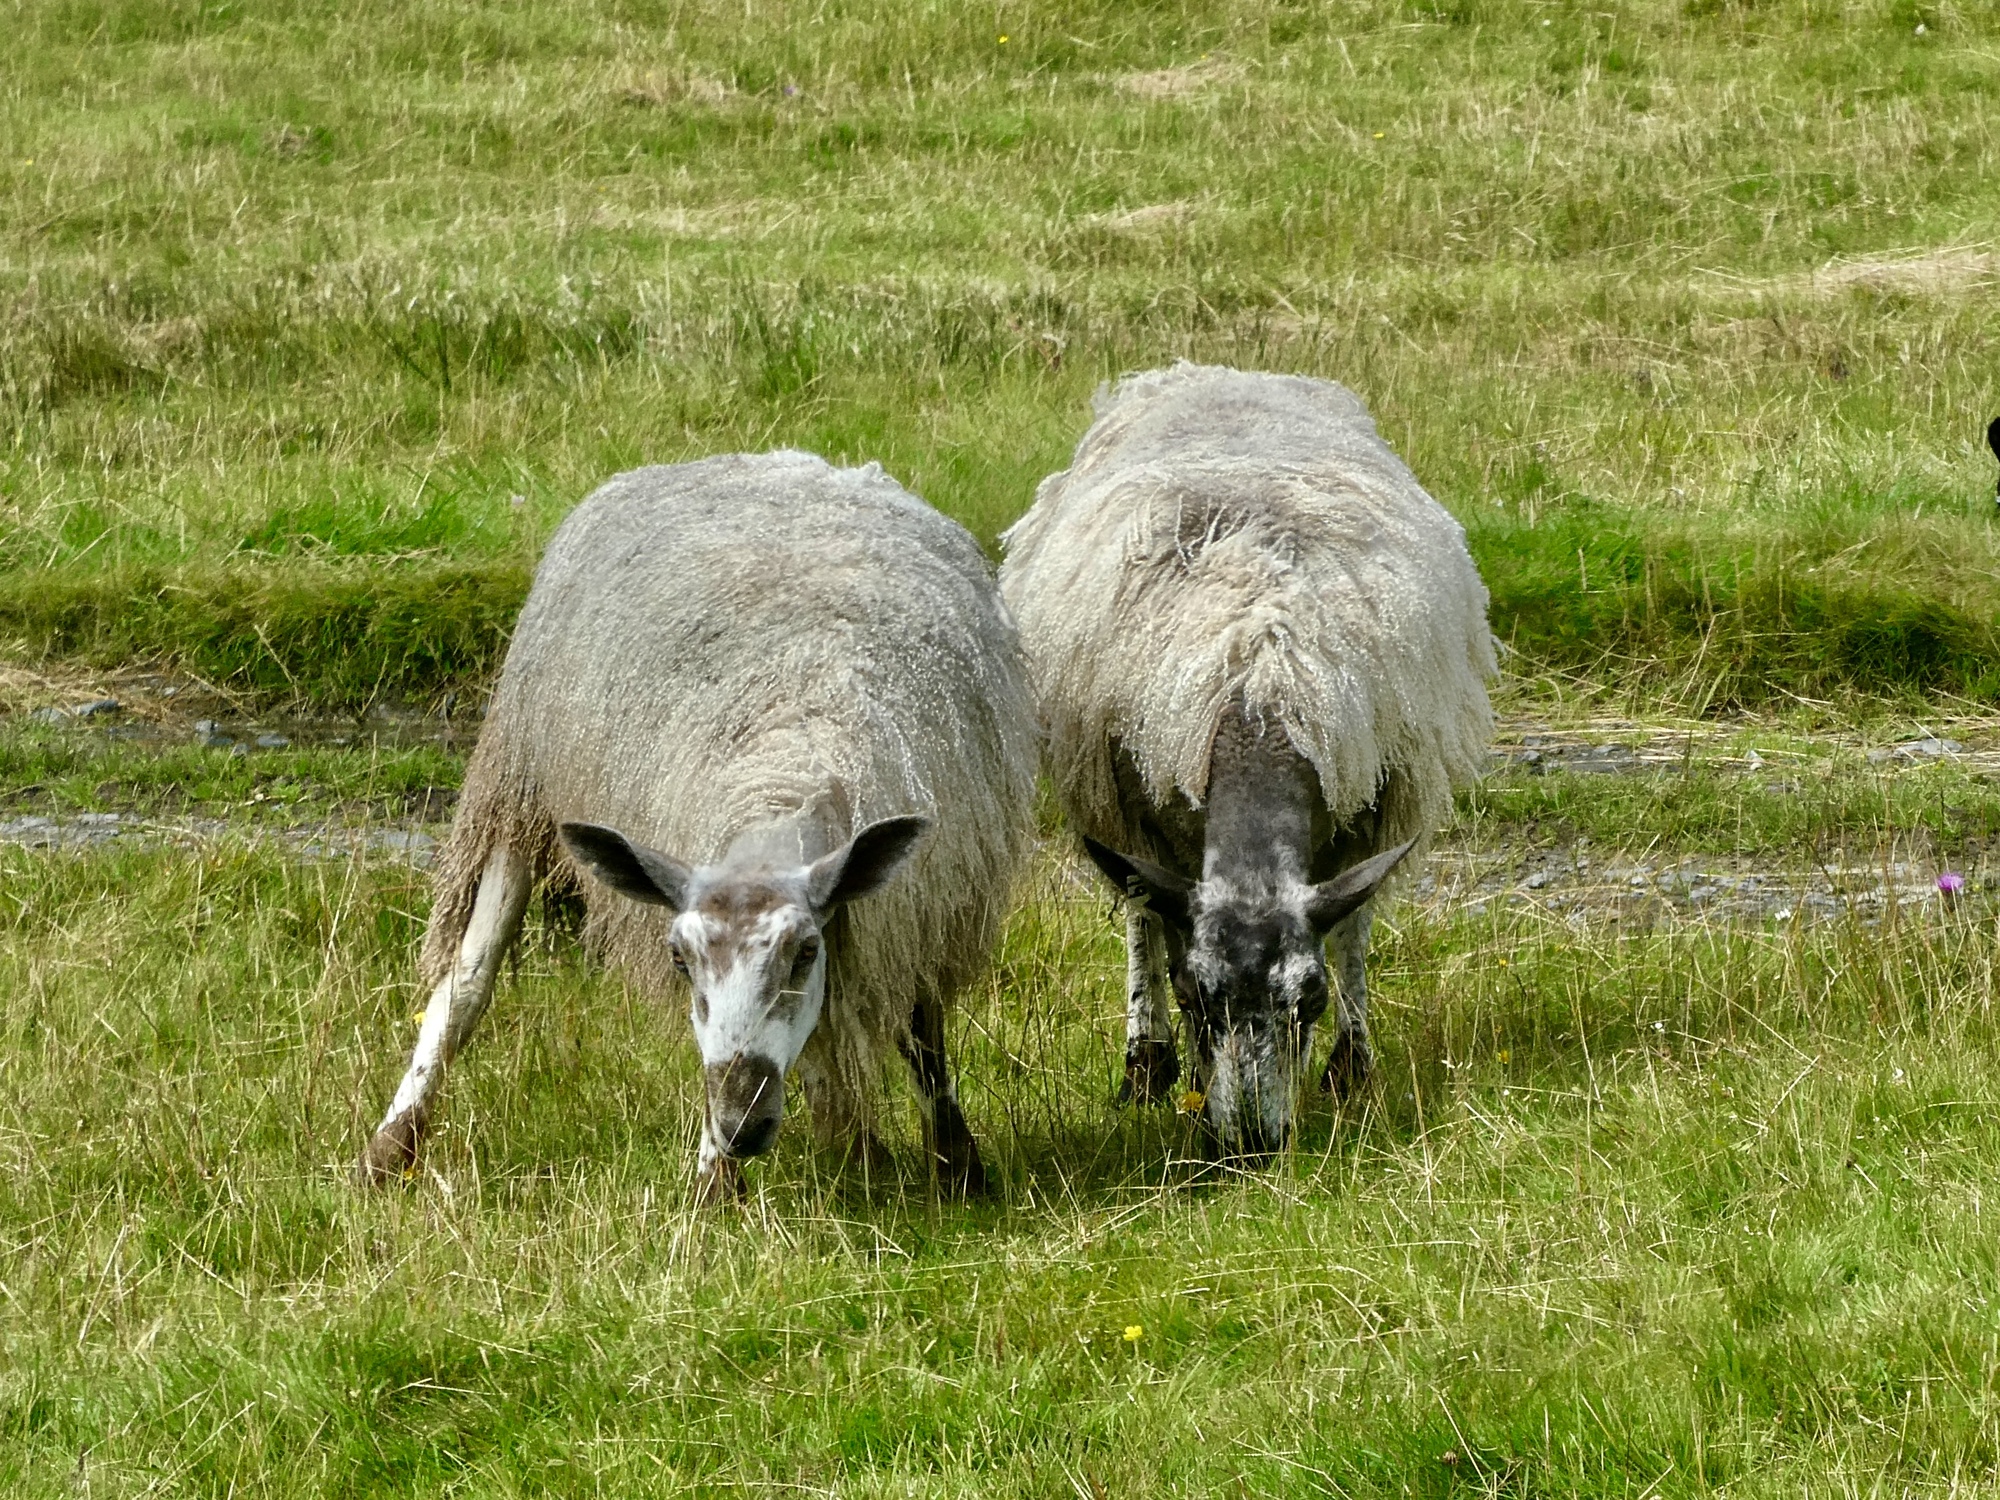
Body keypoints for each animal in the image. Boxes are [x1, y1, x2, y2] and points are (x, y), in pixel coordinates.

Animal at [360, 451, 1038, 1200]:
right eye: (678, 959)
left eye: (804, 951)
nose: (743, 1126)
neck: (782, 768)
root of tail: (763, 456)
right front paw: (716, 1182)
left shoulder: (917, 903)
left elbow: (922, 1030)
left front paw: (956, 1165)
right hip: (521, 783)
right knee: (469, 978)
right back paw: (391, 1145)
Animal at [998, 362, 1495, 1158]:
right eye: (1196, 995)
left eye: (1310, 997)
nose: (1253, 1145)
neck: (1262, 702)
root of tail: (1218, 371)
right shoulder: (1153, 817)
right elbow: (1159, 927)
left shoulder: (1374, 802)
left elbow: (1353, 927)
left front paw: (1353, 1067)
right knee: (1139, 915)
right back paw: (1144, 1062)